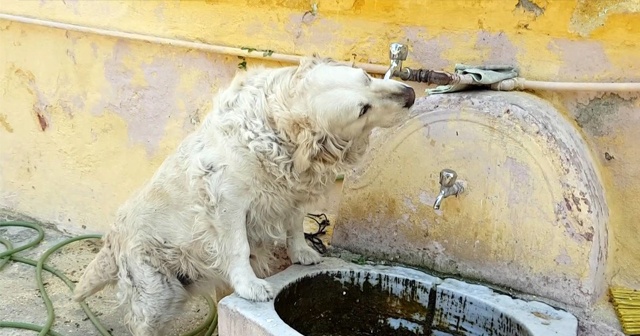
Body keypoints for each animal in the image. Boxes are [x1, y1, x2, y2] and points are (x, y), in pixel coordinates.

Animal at [74, 56, 416, 334]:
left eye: (367, 78)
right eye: (363, 110)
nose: (410, 95)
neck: (277, 128)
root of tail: (112, 237)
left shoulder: (291, 194)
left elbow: (295, 227)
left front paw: (303, 253)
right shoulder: (226, 200)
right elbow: (238, 247)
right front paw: (249, 286)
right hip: (158, 294)